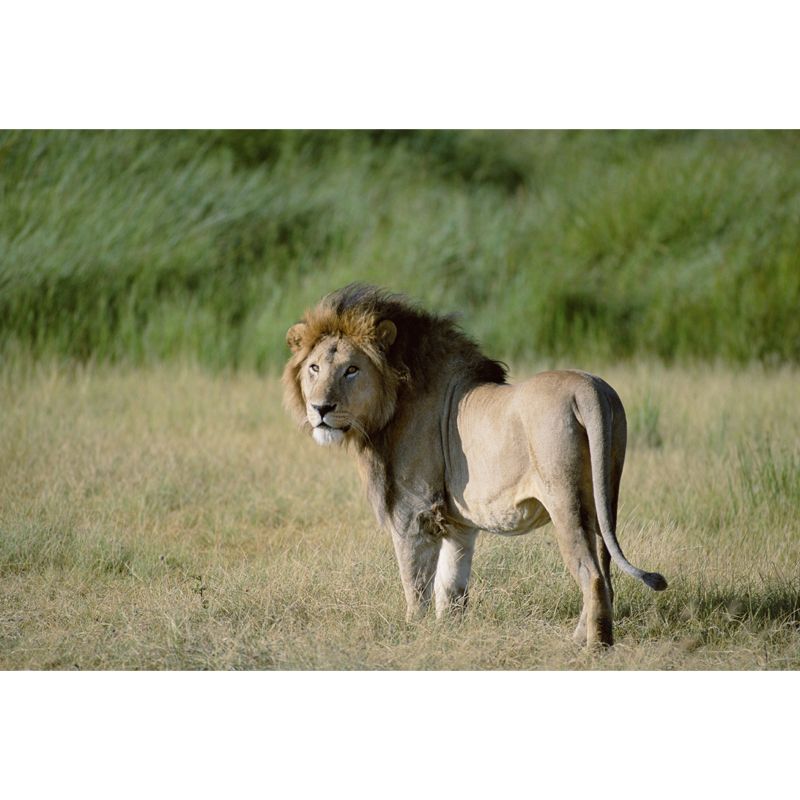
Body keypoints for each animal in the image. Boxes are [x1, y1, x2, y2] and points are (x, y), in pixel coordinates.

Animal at [283, 284, 667, 646]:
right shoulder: (457, 524)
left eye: (351, 370)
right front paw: (447, 633)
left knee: (592, 574)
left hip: (565, 501)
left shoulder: (413, 512)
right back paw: (581, 638)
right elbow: (451, 588)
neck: (391, 404)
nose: (320, 408)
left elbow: (416, 585)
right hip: (604, 497)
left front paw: (413, 633)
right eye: (314, 368)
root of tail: (589, 389)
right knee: (605, 569)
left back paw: (594, 647)